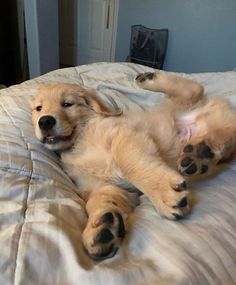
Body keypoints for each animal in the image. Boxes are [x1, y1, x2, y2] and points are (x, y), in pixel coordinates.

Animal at [30, 71, 236, 260]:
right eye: (39, 108)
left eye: (67, 104)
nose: (45, 121)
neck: (80, 140)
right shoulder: (94, 184)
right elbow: (98, 199)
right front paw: (101, 226)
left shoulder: (124, 135)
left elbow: (129, 163)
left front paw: (163, 193)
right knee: (226, 139)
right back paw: (200, 154)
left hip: (178, 106)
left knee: (194, 89)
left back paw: (150, 79)